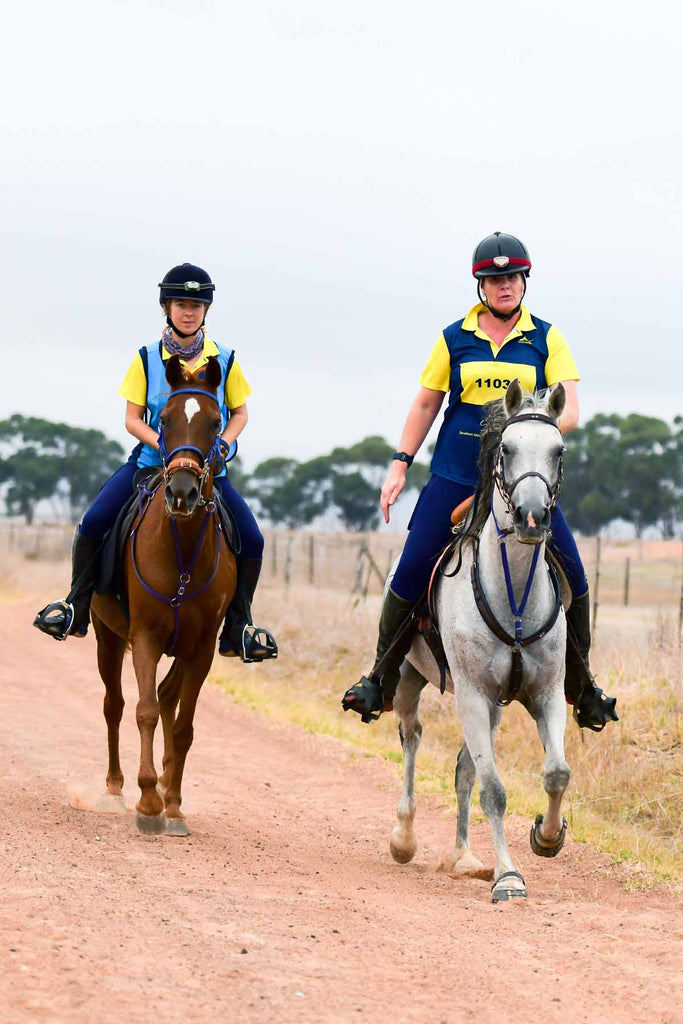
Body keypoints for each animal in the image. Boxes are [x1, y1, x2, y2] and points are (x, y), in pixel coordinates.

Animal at [91, 356, 237, 835]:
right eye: (164, 420)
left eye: (215, 423)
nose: (182, 493)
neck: (183, 552)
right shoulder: (146, 637)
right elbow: (145, 711)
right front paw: (148, 800)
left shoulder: (202, 648)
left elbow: (185, 724)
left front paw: (171, 804)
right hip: (106, 635)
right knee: (115, 705)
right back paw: (115, 789)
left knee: (169, 699)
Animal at [389, 380, 573, 901]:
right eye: (506, 449)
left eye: (558, 451)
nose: (531, 518)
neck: (514, 597)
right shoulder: (471, 694)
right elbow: (494, 789)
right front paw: (508, 876)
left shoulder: (546, 693)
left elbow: (556, 772)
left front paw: (547, 837)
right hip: (410, 680)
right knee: (412, 736)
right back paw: (404, 837)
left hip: (493, 707)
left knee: (464, 766)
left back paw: (464, 857)